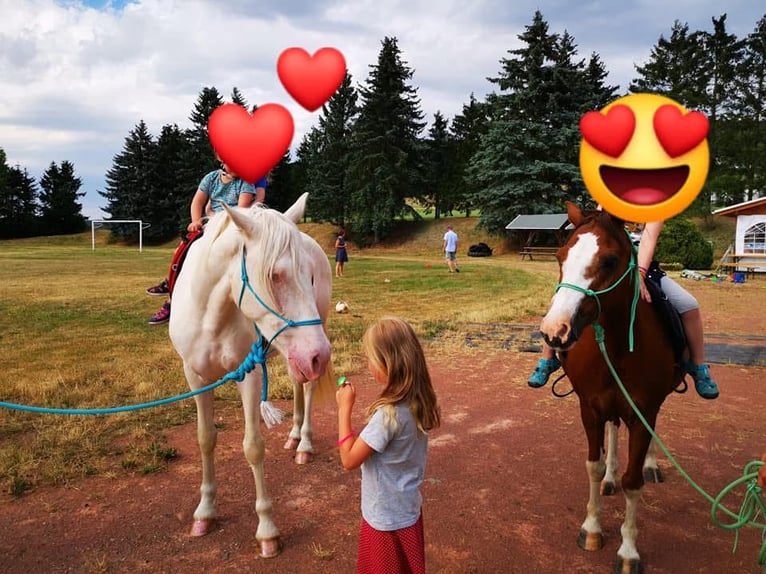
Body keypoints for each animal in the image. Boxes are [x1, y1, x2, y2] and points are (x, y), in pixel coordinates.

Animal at [170, 192, 334, 560]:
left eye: (309, 276)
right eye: (275, 275)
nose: (319, 355)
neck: (212, 315)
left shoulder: (250, 375)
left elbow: (253, 447)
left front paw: (267, 531)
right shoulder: (195, 377)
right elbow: (205, 439)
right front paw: (205, 513)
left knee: (308, 387)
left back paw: (304, 443)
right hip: (292, 353)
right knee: (299, 382)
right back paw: (293, 435)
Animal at [540, 204, 684, 574]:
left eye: (609, 261)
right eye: (560, 256)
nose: (555, 330)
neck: (617, 343)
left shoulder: (643, 411)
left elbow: (634, 482)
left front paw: (628, 551)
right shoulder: (590, 408)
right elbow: (592, 465)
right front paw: (591, 528)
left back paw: (649, 464)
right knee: (613, 431)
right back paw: (609, 476)